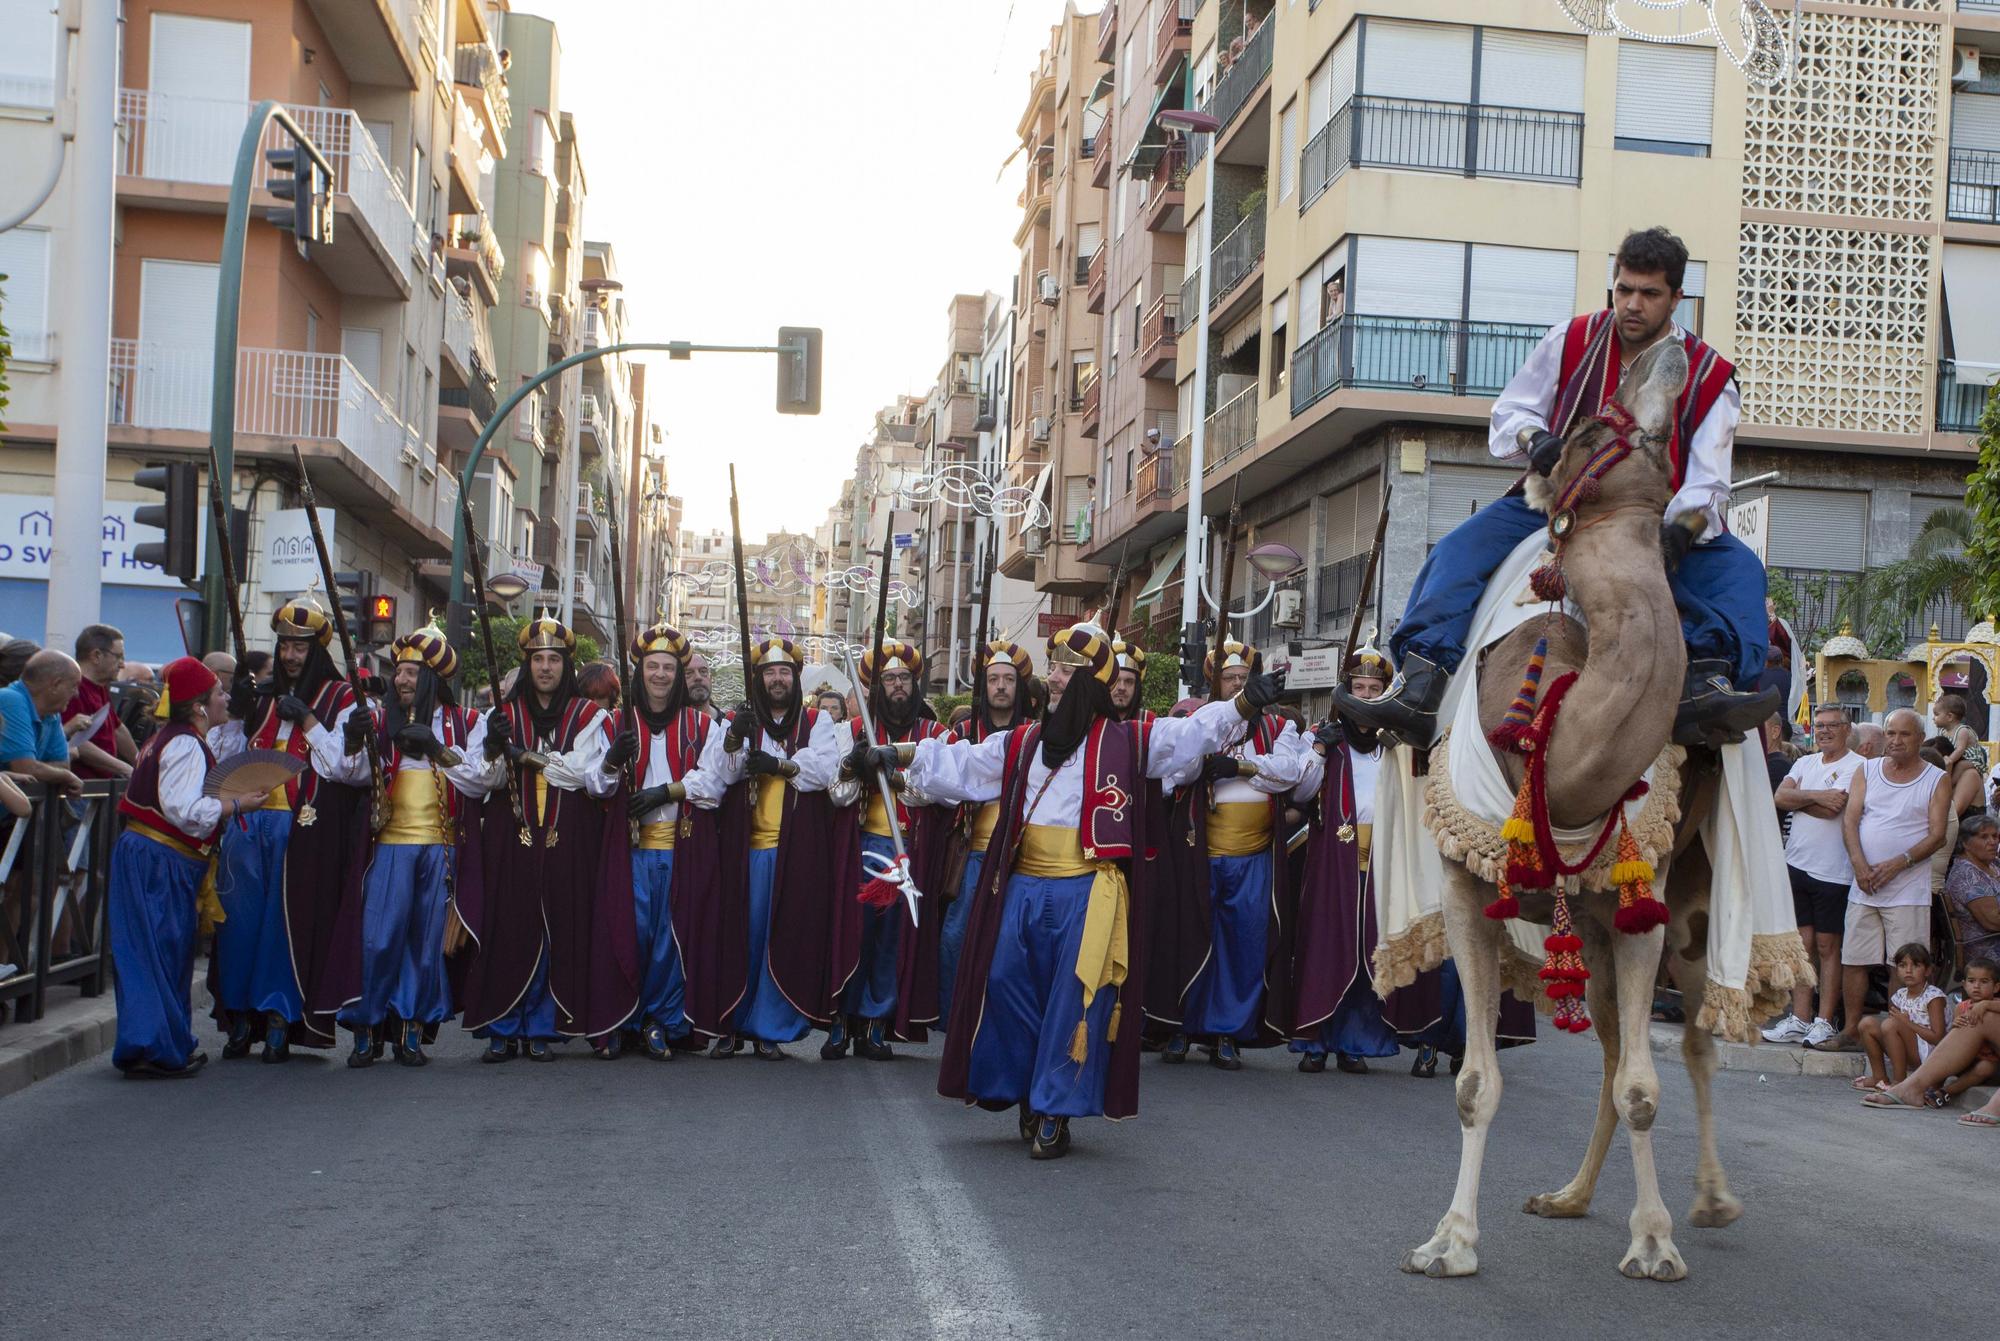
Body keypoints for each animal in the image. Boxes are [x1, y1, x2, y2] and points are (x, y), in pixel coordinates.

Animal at [1400, 342, 1760, 1288]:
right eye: (1588, 428)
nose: (1671, 353)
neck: (1559, 760)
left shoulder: (1642, 899)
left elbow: (1644, 1086)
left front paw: (1657, 1241)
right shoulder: (1466, 888)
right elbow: (1476, 1083)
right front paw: (1449, 1241)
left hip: (1686, 906)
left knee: (1691, 1038)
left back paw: (1712, 1199)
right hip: (1588, 929)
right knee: (1604, 1045)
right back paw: (1568, 1194)